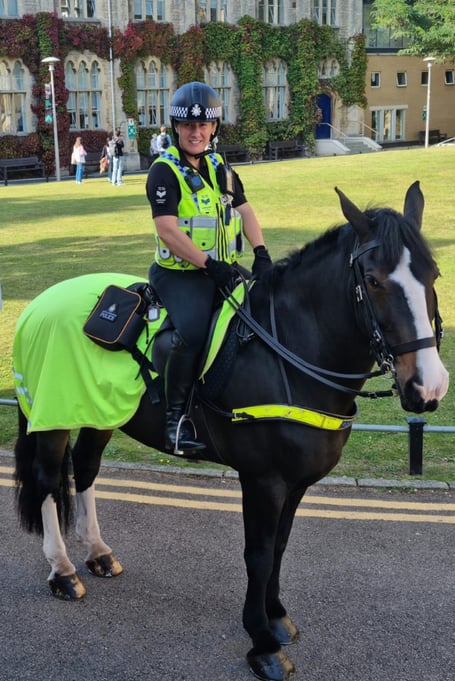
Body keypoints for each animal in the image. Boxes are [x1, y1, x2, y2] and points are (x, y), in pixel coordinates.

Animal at [12, 182, 448, 681]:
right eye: (374, 280)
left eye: (433, 273)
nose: (429, 386)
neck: (287, 353)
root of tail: (39, 304)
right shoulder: (262, 480)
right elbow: (258, 555)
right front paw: (261, 641)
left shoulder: (296, 482)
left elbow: (279, 547)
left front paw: (276, 618)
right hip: (55, 418)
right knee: (49, 482)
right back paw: (62, 570)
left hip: (100, 413)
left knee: (84, 471)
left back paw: (98, 553)